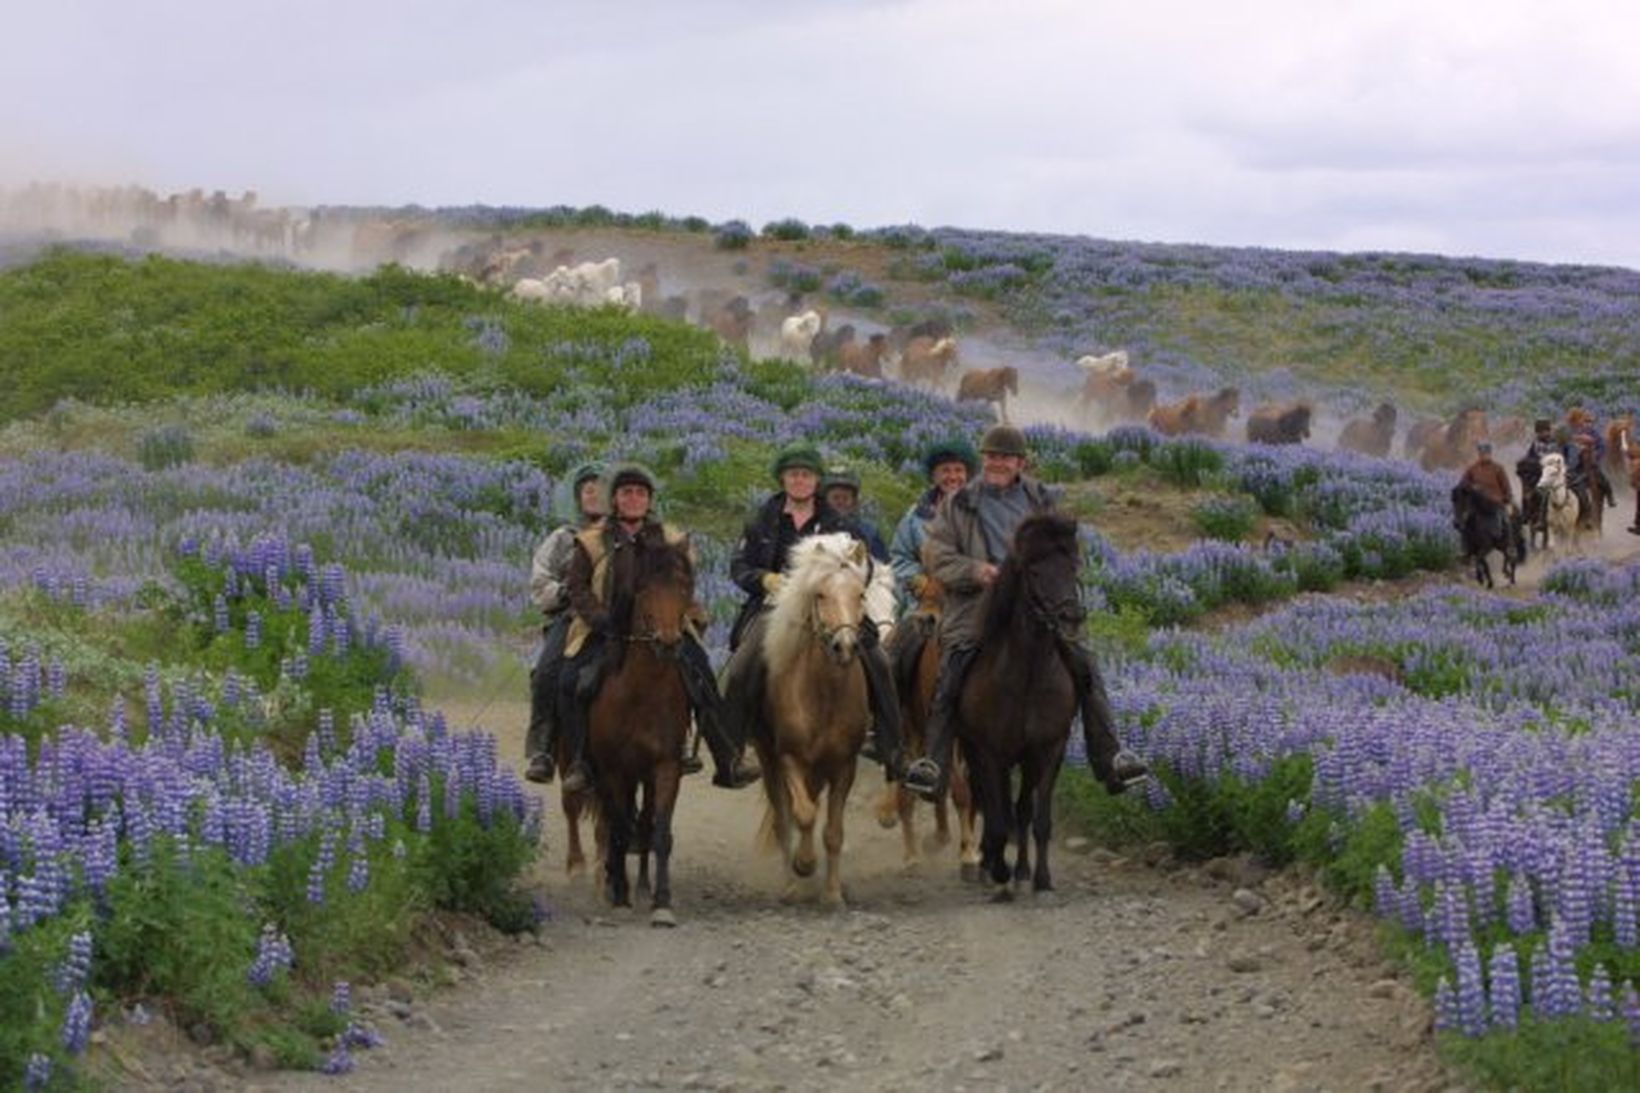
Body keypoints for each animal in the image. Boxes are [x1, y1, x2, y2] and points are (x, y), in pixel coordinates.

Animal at [587, 535, 695, 919]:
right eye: (644, 588)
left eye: (685, 586)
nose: (668, 642)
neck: (640, 693)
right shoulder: (613, 769)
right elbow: (619, 830)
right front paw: (619, 894)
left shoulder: (665, 766)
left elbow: (659, 831)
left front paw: (662, 901)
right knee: (613, 826)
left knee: (646, 822)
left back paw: (645, 885)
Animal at [957, 512, 1082, 892]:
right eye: (1035, 572)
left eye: (1073, 566)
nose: (1072, 617)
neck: (1028, 679)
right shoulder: (989, 752)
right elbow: (998, 817)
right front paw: (998, 869)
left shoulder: (1048, 748)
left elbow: (1038, 818)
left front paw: (1042, 879)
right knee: (991, 804)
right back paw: (990, 864)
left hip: (1026, 760)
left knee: (1021, 809)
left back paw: (1023, 870)